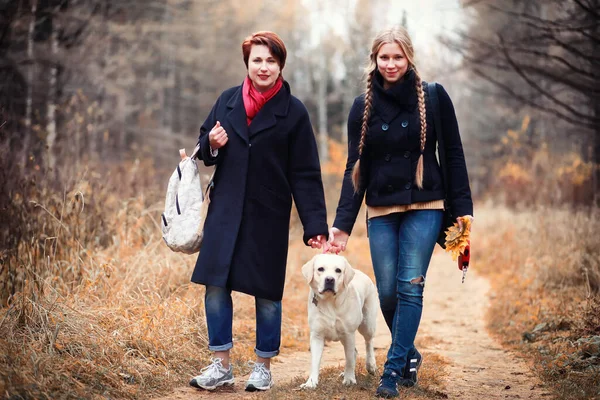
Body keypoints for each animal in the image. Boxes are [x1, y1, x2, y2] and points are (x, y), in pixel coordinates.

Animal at [298, 253, 378, 388]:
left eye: (338, 270)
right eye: (320, 269)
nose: (330, 279)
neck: (330, 301)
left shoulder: (349, 334)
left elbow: (349, 359)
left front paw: (349, 379)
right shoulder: (317, 335)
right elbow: (315, 361)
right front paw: (311, 383)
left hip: (367, 324)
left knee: (368, 342)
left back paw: (371, 365)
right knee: (355, 351)